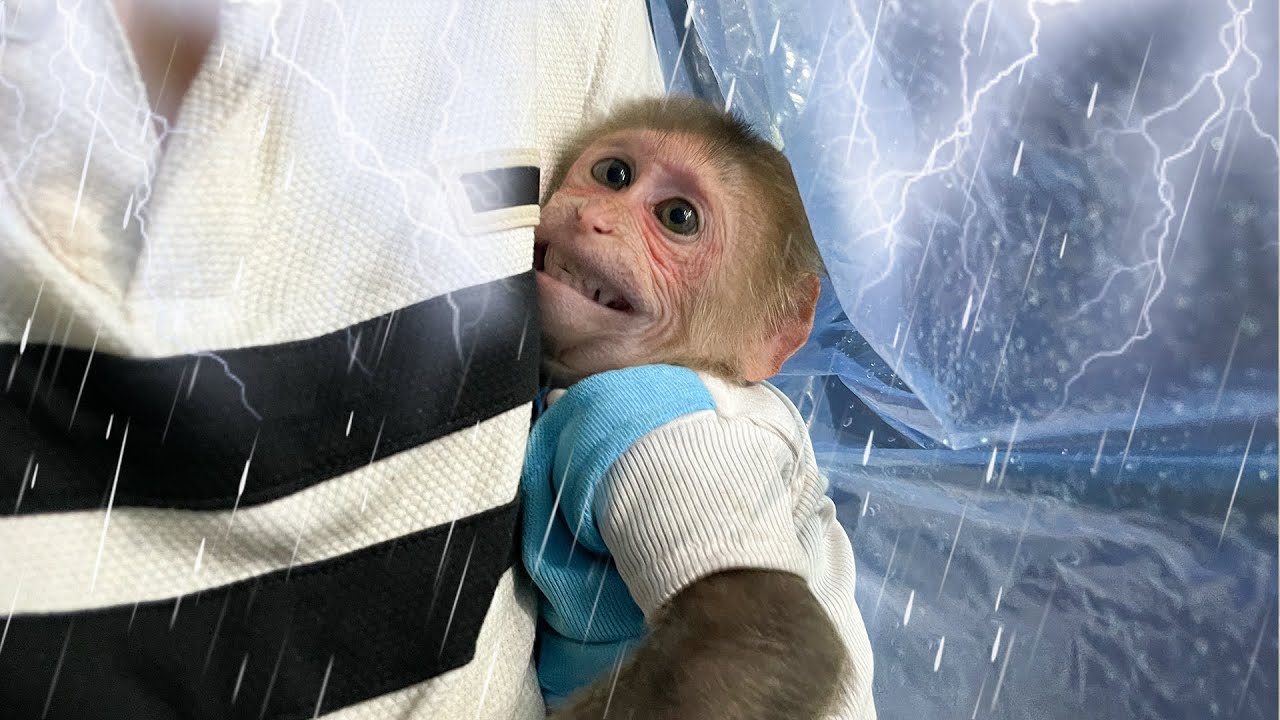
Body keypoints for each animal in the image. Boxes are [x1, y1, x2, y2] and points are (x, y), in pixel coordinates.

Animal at [520, 96, 877, 720]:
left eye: (679, 217)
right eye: (614, 174)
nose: (593, 218)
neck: (702, 366)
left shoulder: (648, 415)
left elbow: (767, 635)